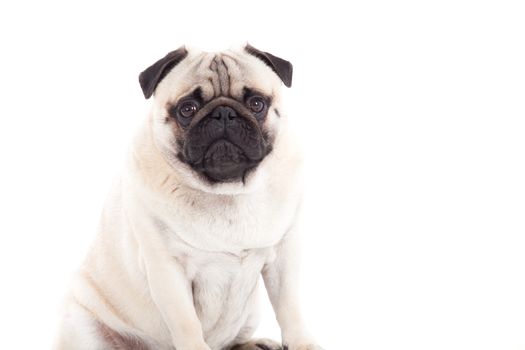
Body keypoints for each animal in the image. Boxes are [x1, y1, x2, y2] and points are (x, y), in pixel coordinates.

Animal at [54, 43, 324, 350]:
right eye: (187, 109)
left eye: (257, 104)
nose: (223, 114)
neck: (227, 191)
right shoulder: (166, 268)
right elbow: (186, 322)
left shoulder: (284, 256)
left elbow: (289, 307)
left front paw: (302, 343)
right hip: (83, 325)